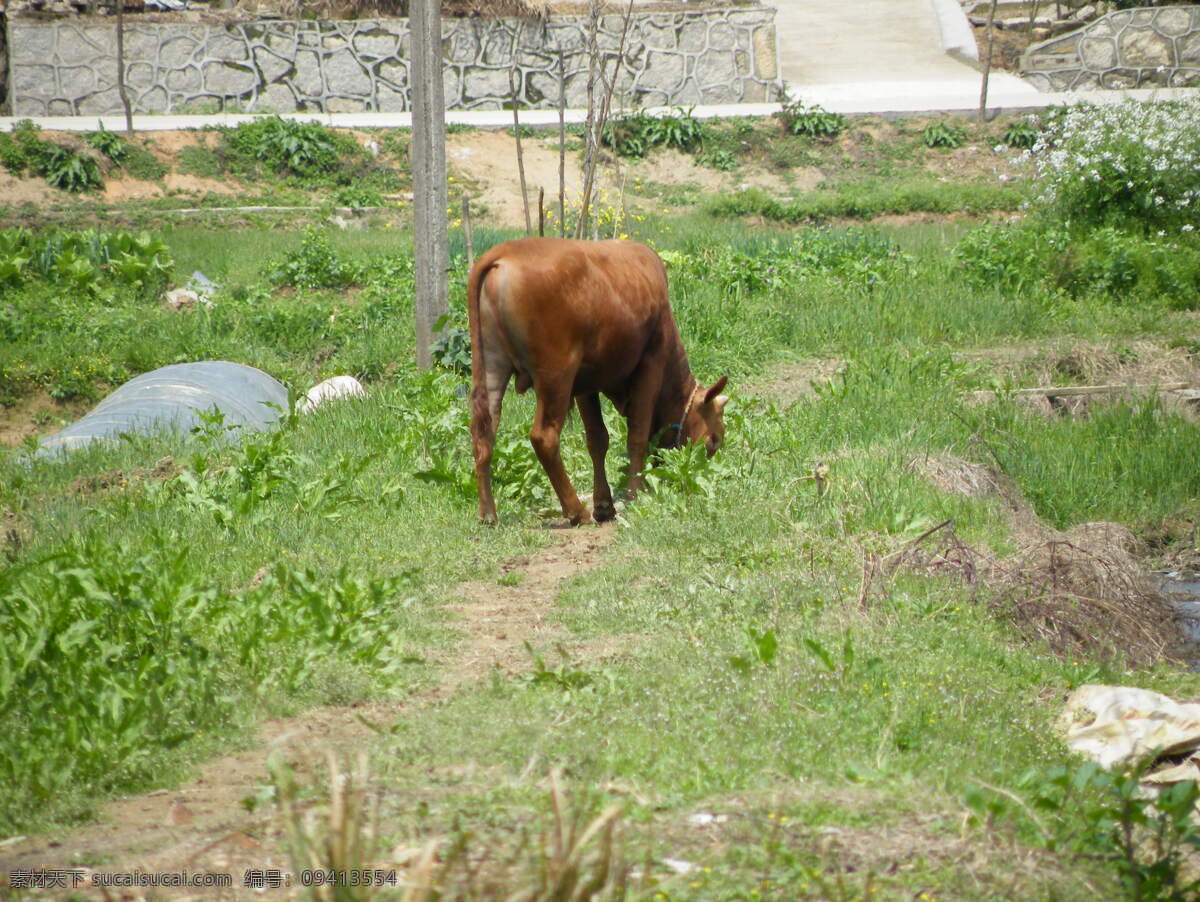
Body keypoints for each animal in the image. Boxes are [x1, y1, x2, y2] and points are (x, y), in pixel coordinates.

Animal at [465, 236, 729, 525]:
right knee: (544, 437)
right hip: (556, 375)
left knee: (483, 433)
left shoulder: (585, 384)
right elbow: (638, 435)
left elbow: (597, 439)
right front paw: (634, 495)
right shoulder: (651, 362)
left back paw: (488, 513)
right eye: (712, 441)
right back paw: (575, 511)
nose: (698, 475)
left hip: (492, 366)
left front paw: (604, 504)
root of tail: (505, 251)